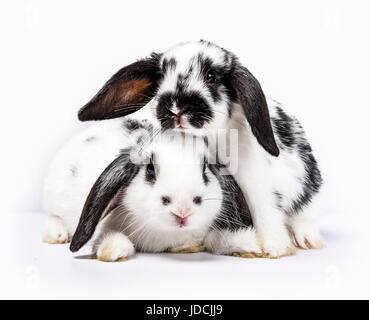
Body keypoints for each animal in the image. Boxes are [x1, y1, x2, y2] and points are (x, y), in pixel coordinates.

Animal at [76, 40, 324, 260]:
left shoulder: (257, 188)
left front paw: (274, 249)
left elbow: (266, 212)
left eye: (211, 77)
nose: (176, 107)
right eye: (162, 76)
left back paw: (307, 240)